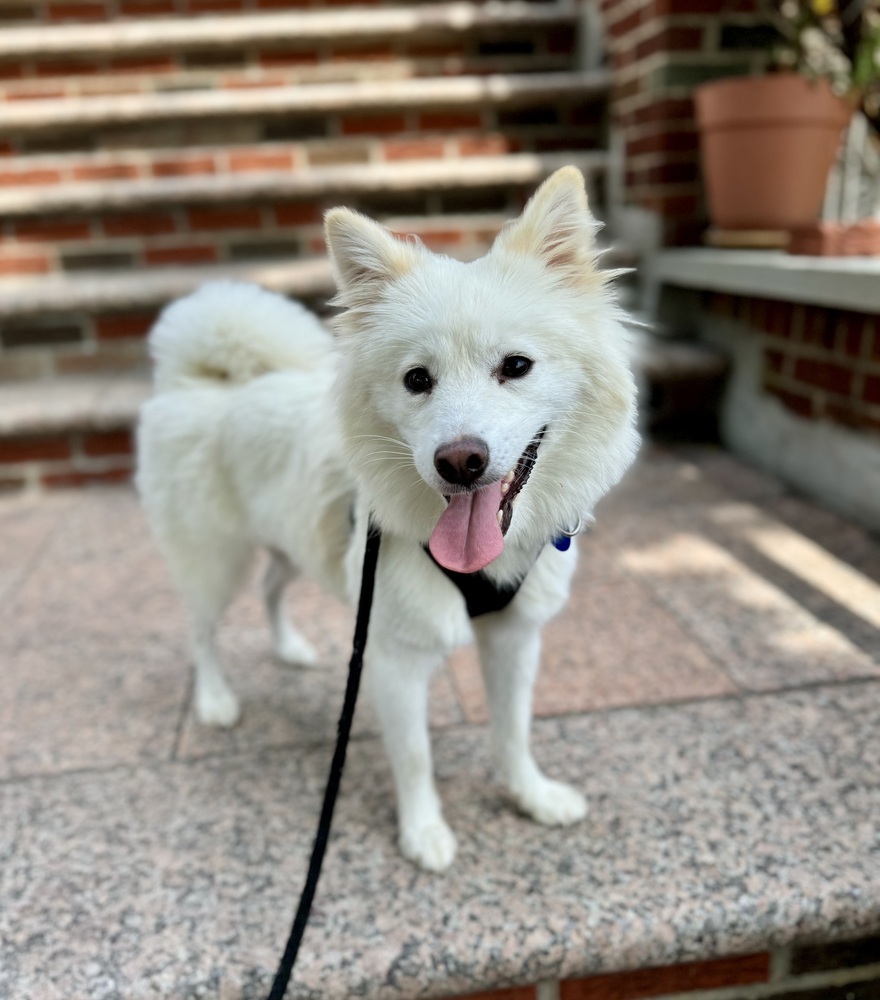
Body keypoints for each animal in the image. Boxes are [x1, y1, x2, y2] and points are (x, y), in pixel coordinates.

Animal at [136, 168, 640, 872]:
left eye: (516, 365)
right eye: (417, 379)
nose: (460, 461)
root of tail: (201, 380)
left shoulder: (515, 638)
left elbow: (513, 730)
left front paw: (532, 796)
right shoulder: (396, 658)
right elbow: (415, 756)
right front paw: (424, 834)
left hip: (292, 544)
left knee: (270, 589)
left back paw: (290, 649)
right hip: (213, 556)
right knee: (201, 631)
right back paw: (213, 702)